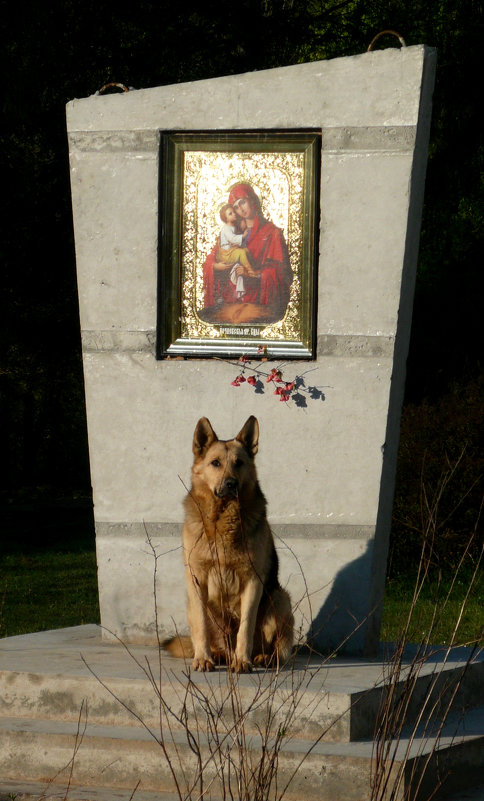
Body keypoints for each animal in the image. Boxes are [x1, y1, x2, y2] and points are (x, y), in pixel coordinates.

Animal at [163, 416, 294, 672]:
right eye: (215, 463)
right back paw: (217, 655)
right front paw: (203, 659)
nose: (232, 484)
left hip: (280, 599)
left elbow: (246, 628)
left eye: (239, 463)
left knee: (277, 649)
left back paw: (261, 657)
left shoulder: (253, 581)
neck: (222, 519)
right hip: (194, 603)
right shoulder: (197, 580)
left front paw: (242, 661)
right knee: (212, 638)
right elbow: (201, 628)